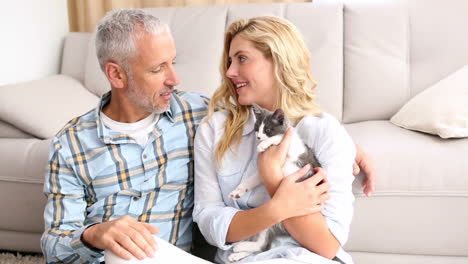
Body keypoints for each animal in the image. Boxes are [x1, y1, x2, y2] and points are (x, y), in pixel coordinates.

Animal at [227, 104, 322, 262]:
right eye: (256, 127)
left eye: (268, 130)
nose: (259, 138)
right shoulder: (265, 172)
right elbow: (251, 180)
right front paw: (237, 191)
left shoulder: (296, 150)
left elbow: (280, 138)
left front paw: (264, 144)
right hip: (268, 217)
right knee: (262, 244)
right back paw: (238, 253)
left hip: (277, 219)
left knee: (263, 246)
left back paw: (239, 248)